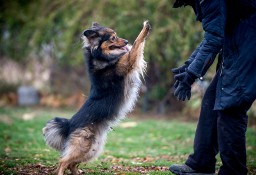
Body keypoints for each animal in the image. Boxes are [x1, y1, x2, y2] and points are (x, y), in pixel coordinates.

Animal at [41, 20, 150, 175]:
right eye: (113, 38)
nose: (126, 41)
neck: (99, 56)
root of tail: (70, 124)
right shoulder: (128, 61)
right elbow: (137, 43)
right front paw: (145, 28)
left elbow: (134, 47)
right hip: (83, 145)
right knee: (63, 161)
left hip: (93, 148)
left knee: (71, 164)